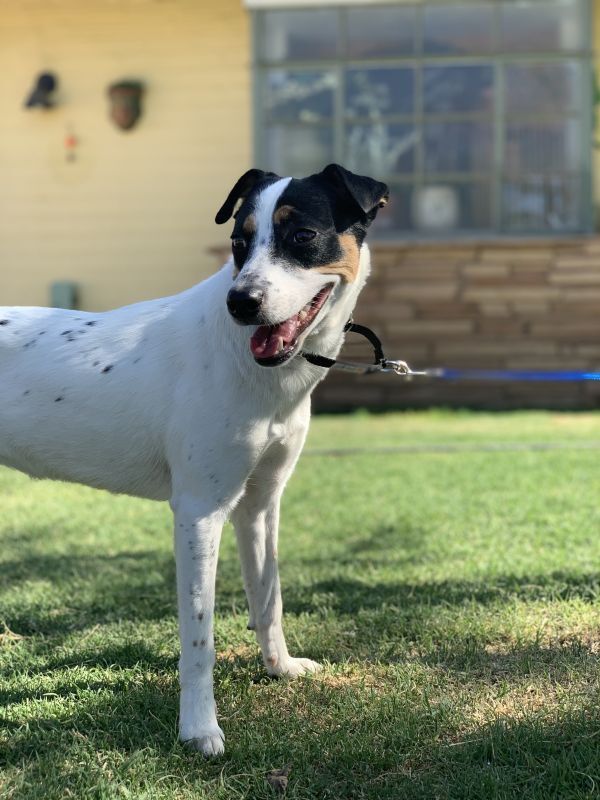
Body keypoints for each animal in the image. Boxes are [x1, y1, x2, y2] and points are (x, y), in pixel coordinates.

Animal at [1, 164, 390, 756]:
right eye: (238, 242)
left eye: (302, 235)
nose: (241, 303)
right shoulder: (200, 511)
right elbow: (199, 638)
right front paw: (199, 728)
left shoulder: (260, 504)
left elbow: (268, 597)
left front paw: (279, 667)